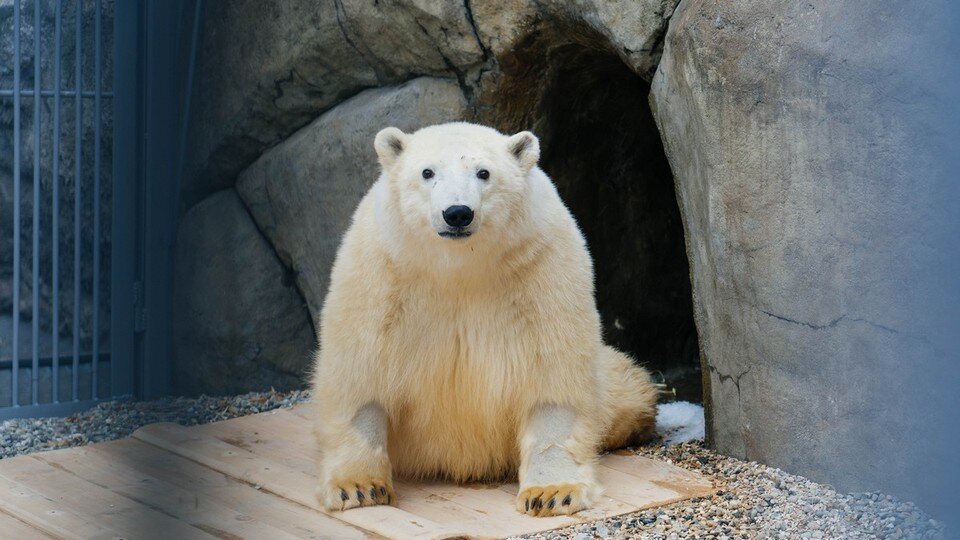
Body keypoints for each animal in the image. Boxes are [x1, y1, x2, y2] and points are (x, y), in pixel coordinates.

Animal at [316, 121, 660, 516]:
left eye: (484, 173)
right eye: (427, 172)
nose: (457, 213)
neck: (459, 266)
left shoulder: (541, 266)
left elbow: (553, 375)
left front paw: (552, 492)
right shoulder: (382, 270)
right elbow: (361, 370)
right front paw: (359, 487)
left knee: (623, 390)